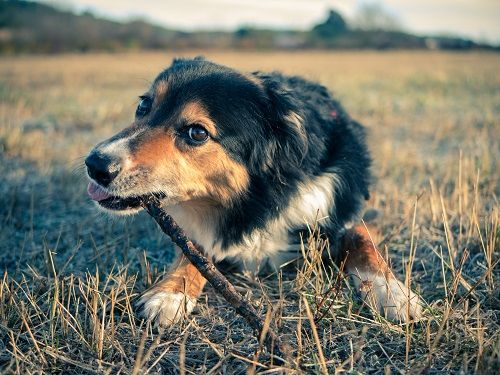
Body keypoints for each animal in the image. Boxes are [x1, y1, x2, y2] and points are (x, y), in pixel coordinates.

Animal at [85, 57, 422, 328]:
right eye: (144, 105)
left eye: (197, 133)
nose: (95, 164)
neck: (258, 200)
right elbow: (192, 251)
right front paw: (169, 293)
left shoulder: (358, 210)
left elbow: (360, 237)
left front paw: (392, 292)